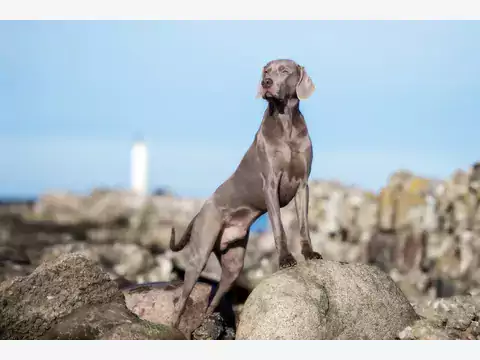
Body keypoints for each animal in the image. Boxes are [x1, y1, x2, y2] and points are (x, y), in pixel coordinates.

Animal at [169, 58, 322, 330]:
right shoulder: (270, 184)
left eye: (285, 70)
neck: (286, 124)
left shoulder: (303, 185)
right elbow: (279, 228)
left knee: (216, 295)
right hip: (200, 251)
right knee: (182, 298)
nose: (266, 82)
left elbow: (304, 225)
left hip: (234, 263)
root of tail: (200, 210)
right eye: (266, 70)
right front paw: (286, 259)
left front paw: (309, 253)